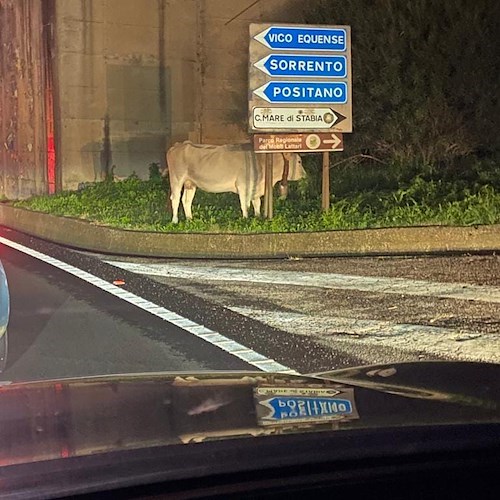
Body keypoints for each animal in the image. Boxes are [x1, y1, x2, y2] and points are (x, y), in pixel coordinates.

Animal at [166, 141, 304, 223]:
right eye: (299, 161)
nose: (305, 175)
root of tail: (179, 145)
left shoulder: (255, 187)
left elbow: (257, 203)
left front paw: (257, 216)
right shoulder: (243, 185)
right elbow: (245, 205)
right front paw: (245, 219)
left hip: (190, 183)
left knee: (186, 200)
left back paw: (190, 219)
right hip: (177, 179)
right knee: (175, 199)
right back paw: (175, 220)